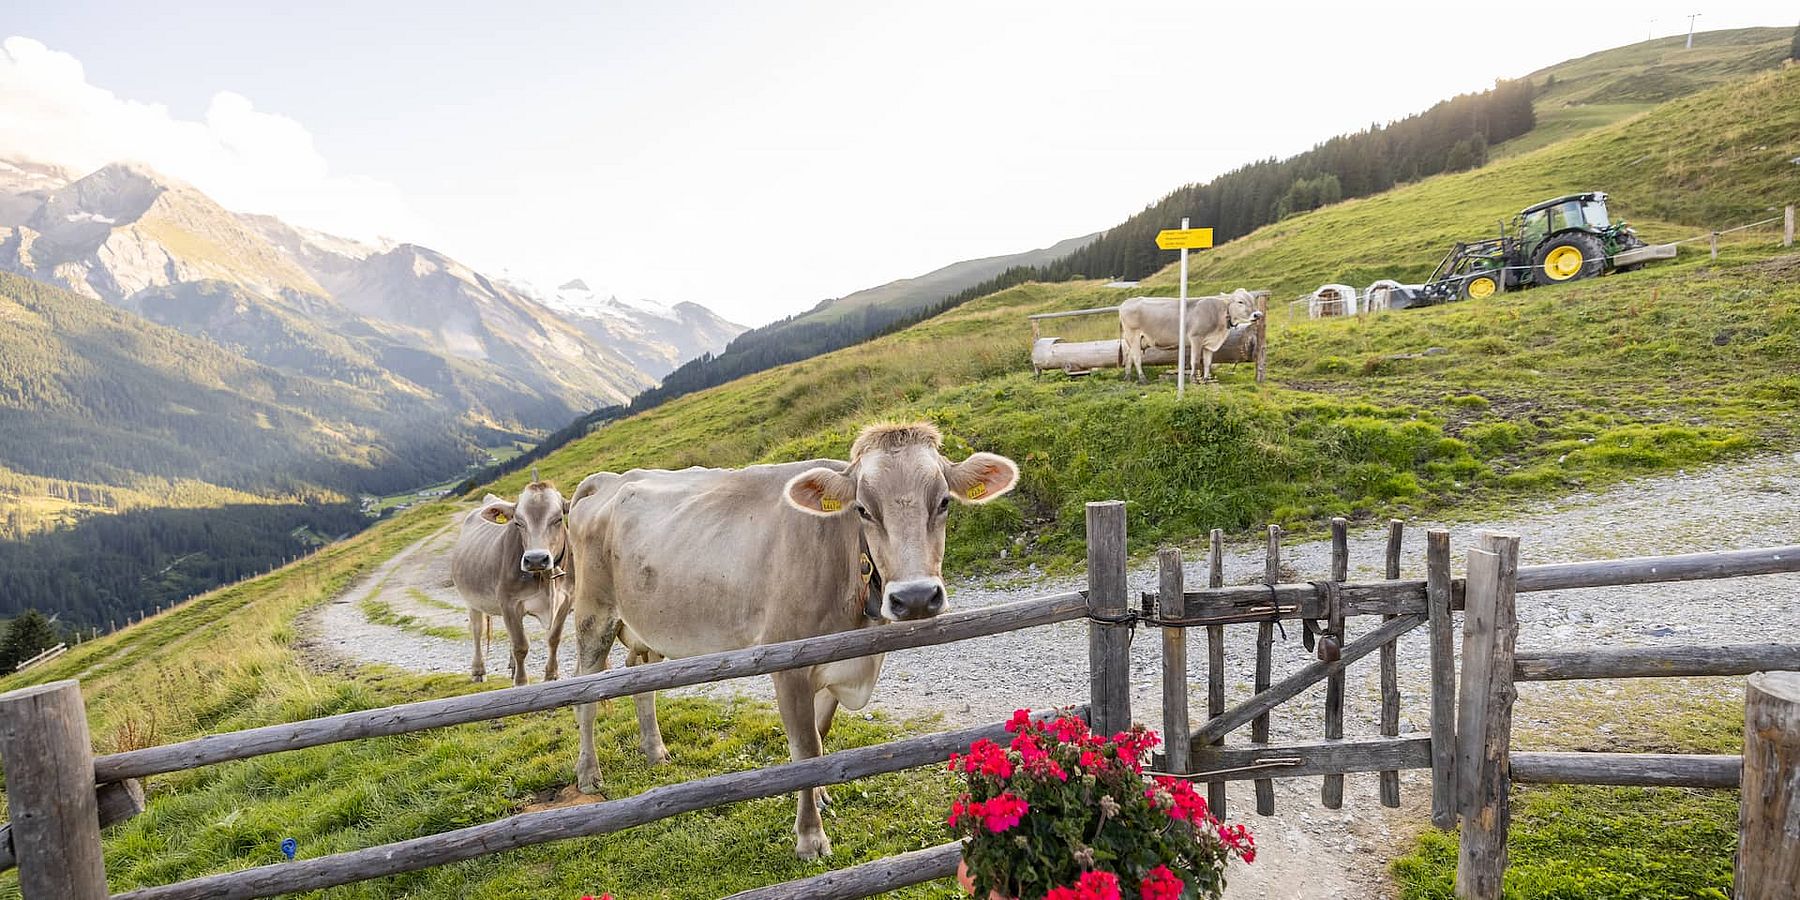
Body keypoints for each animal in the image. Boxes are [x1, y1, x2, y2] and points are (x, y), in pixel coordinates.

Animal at [444, 486, 568, 680]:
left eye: (559, 519)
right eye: (518, 523)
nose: (536, 559)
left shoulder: (566, 601)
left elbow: (554, 639)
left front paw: (552, 675)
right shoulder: (509, 603)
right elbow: (521, 646)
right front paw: (521, 681)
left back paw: (512, 666)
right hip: (472, 600)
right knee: (477, 630)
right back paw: (478, 670)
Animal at [1116, 288, 1260, 383]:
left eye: (1253, 300)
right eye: (1240, 302)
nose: (1257, 314)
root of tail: (1126, 302)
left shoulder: (1209, 343)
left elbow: (1207, 362)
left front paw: (1206, 380)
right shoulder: (1196, 338)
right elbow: (1195, 360)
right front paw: (1193, 379)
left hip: (1132, 339)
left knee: (1128, 356)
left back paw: (1127, 378)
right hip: (1133, 335)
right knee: (1136, 357)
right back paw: (1143, 379)